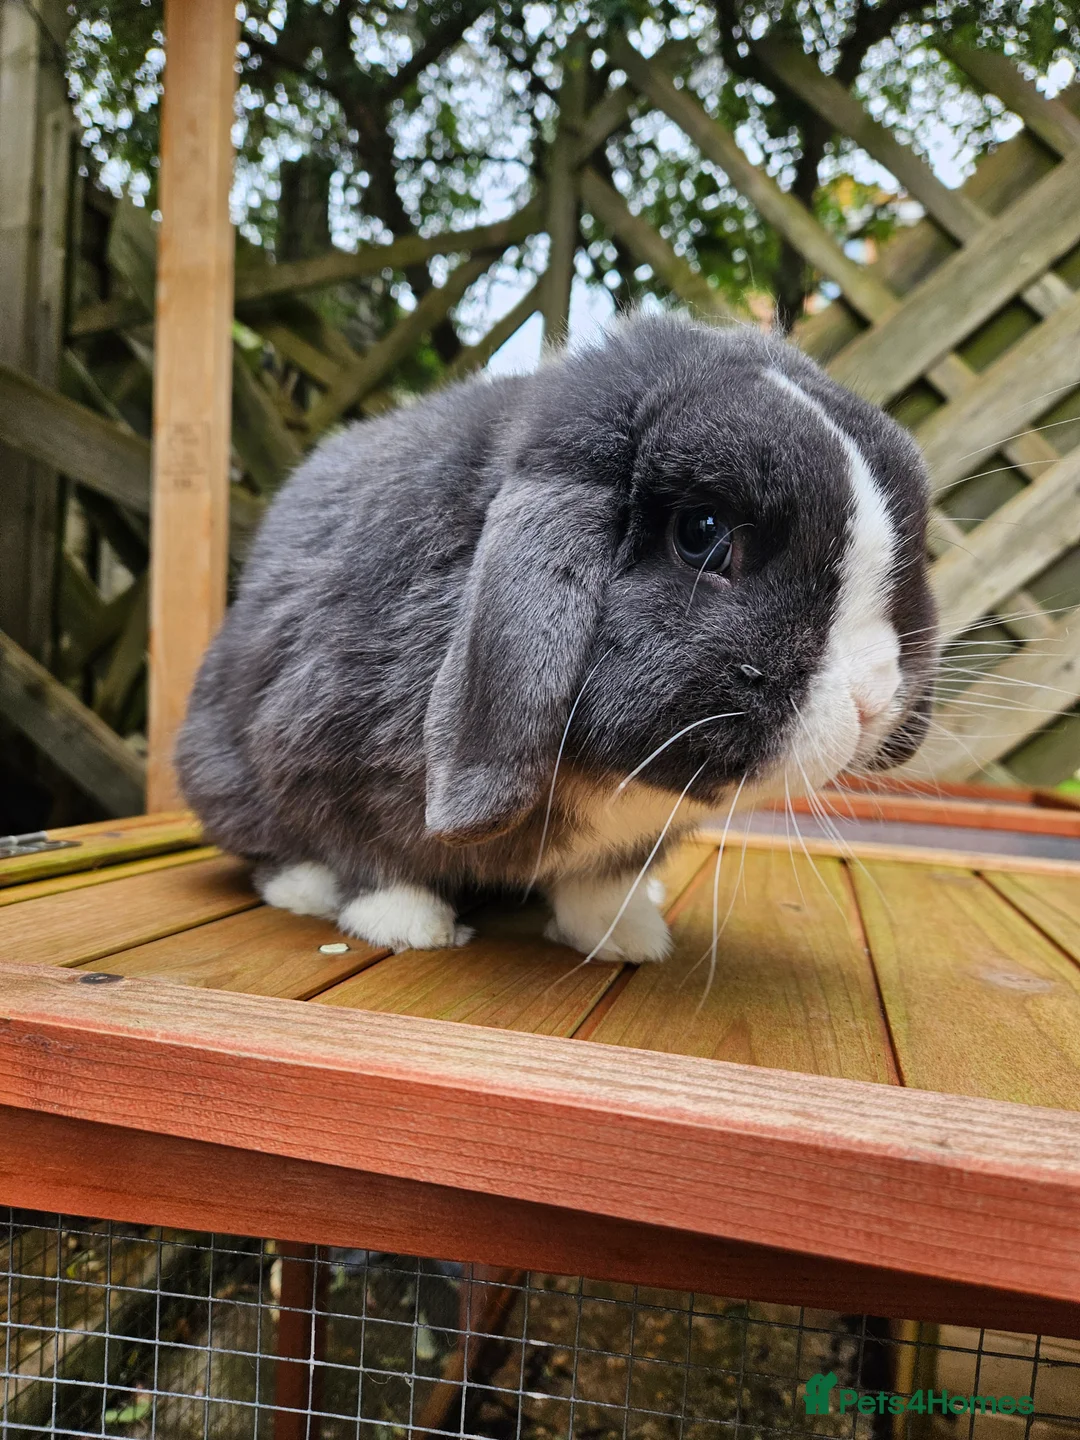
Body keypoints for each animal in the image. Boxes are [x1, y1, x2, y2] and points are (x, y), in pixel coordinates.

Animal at [176, 313, 936, 963]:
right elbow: (373, 856)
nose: (874, 697)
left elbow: (601, 884)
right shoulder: (325, 753)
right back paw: (302, 890)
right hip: (219, 767)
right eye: (704, 534)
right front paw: (408, 927)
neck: (607, 776)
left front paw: (628, 939)